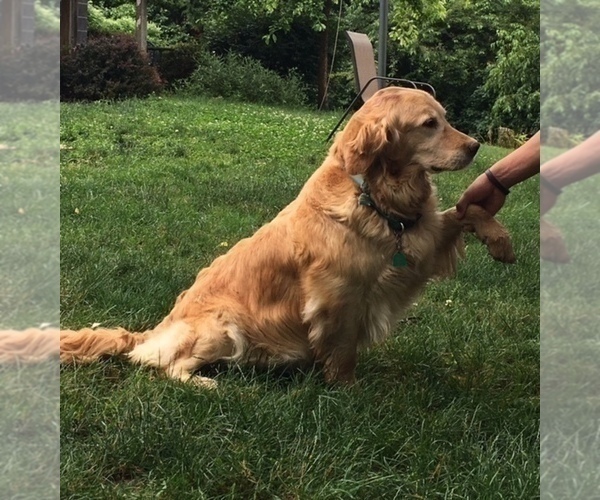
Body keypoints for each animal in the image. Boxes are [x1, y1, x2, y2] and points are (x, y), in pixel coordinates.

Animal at [63, 87, 516, 386]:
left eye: (445, 117)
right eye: (429, 124)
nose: (476, 146)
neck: (376, 195)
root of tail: (155, 329)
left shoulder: (418, 242)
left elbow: (467, 211)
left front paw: (500, 241)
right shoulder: (339, 293)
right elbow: (342, 347)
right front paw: (345, 388)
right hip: (223, 325)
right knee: (161, 365)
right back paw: (205, 383)